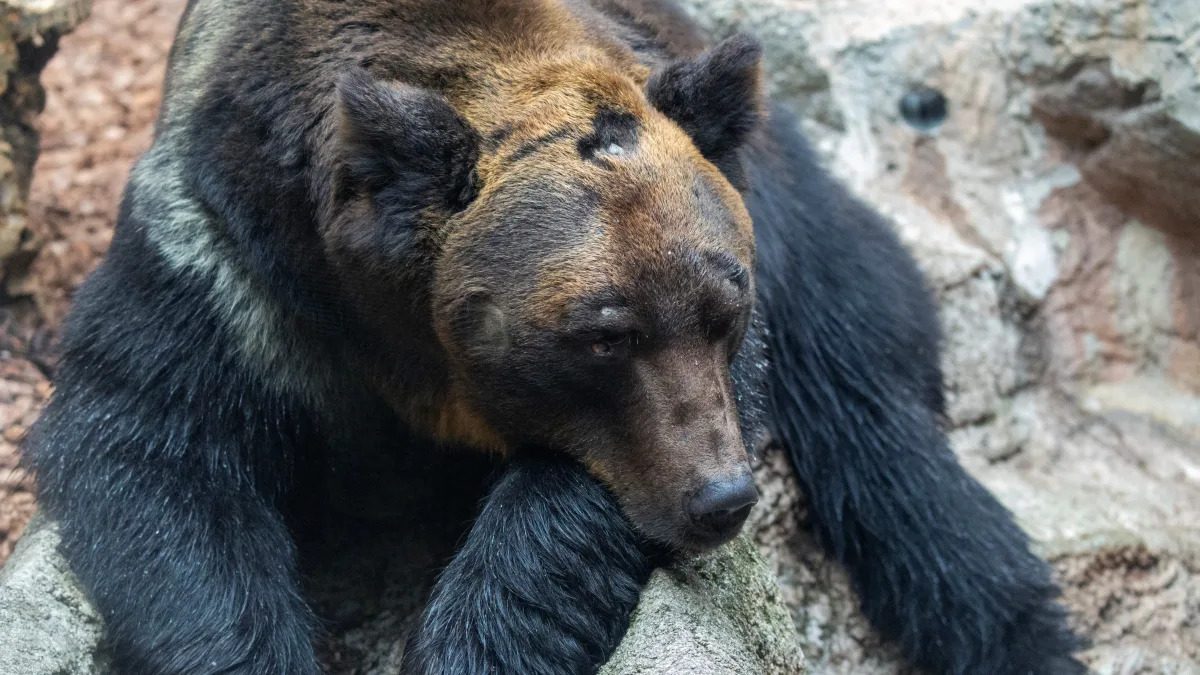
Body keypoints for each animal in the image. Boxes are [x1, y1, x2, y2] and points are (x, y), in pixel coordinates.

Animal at [21, 0, 1086, 673]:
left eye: (724, 309)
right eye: (602, 335)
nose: (722, 497)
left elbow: (567, 512)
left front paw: (471, 642)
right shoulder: (226, 266)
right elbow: (160, 458)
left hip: (806, 225)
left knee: (894, 460)